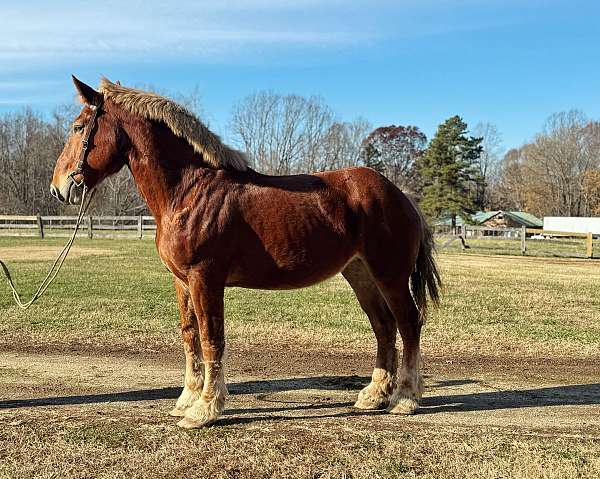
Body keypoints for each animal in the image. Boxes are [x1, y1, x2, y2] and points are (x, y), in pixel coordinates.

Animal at [50, 77, 440, 430]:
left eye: (78, 127)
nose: (59, 188)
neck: (188, 191)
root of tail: (401, 196)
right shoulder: (182, 282)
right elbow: (190, 335)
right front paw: (186, 400)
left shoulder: (205, 278)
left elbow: (212, 338)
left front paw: (205, 409)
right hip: (360, 274)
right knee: (384, 326)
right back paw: (373, 395)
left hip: (389, 275)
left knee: (408, 323)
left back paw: (405, 399)